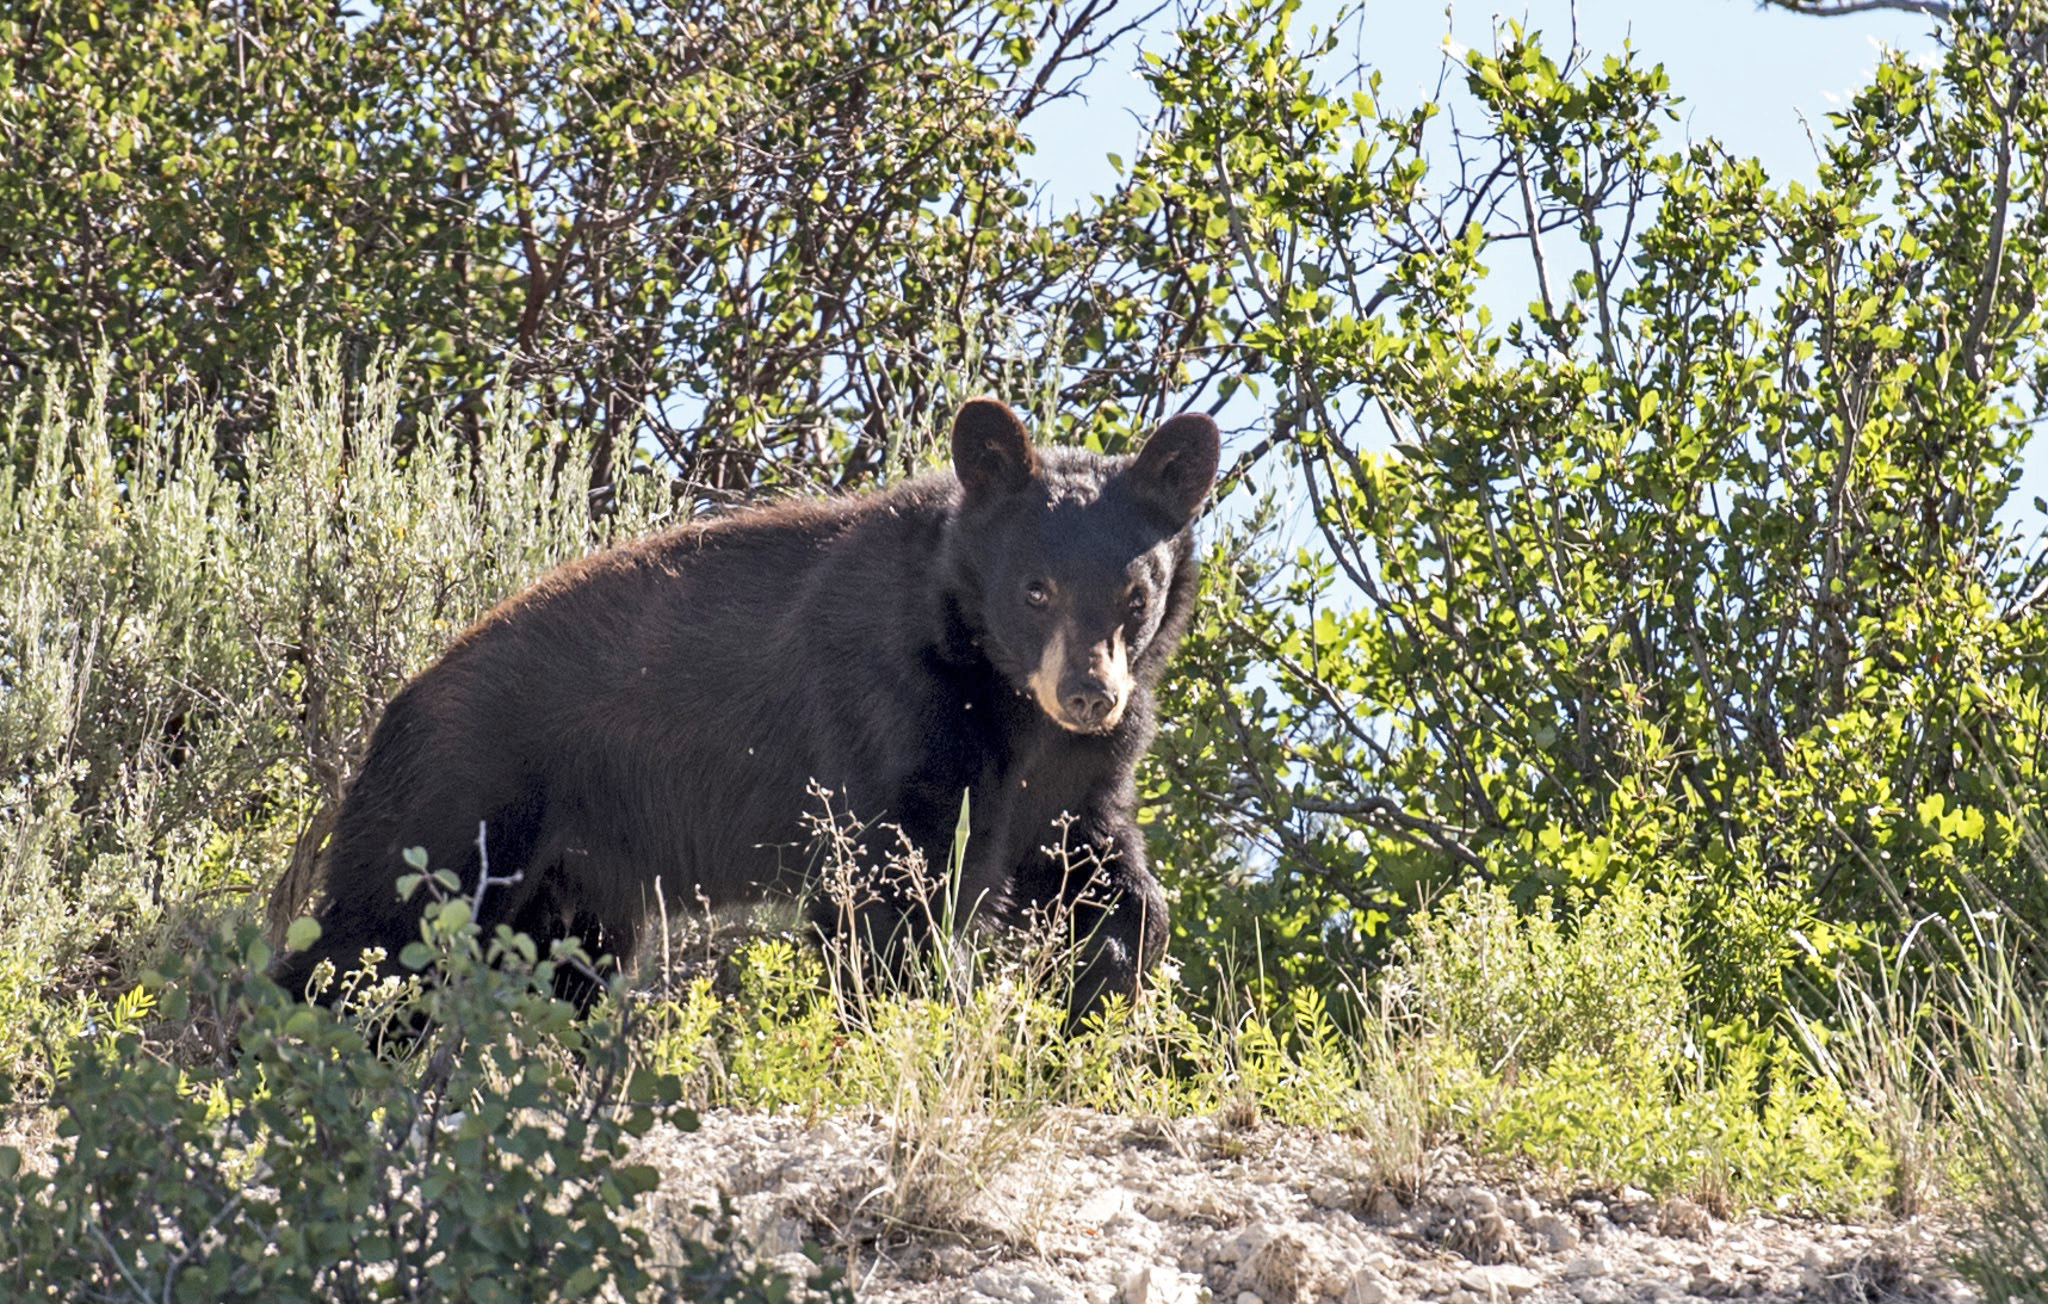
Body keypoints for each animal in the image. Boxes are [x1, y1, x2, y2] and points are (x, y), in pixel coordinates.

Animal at [270, 397, 1220, 1022]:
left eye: (1134, 596)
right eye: (1035, 588)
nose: (1089, 694)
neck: (1001, 691)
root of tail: (396, 704)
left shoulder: (1079, 769)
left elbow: (1092, 862)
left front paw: (1104, 985)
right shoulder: (891, 709)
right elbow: (886, 891)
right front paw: (918, 1022)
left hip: (571, 880)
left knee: (556, 968)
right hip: (461, 797)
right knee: (372, 939)